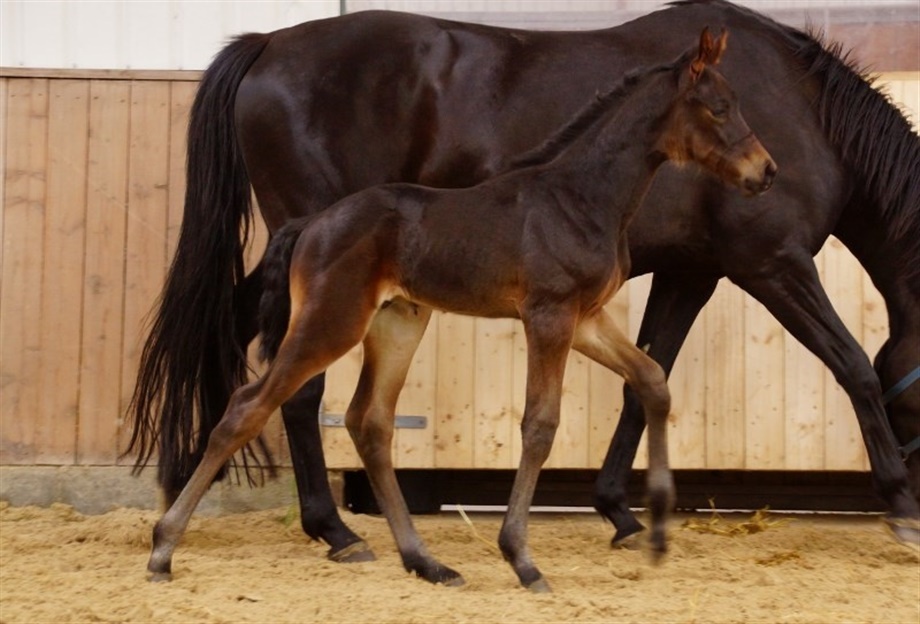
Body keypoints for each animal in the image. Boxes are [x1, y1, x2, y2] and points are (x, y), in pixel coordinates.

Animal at [127, 0, 920, 562]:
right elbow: (856, 366)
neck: (803, 109)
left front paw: (620, 510)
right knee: (295, 387)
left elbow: (647, 380)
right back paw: (332, 531)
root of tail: (268, 43)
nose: (764, 172)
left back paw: (190, 489)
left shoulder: (691, 272)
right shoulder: (772, 263)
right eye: (722, 110)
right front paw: (901, 507)